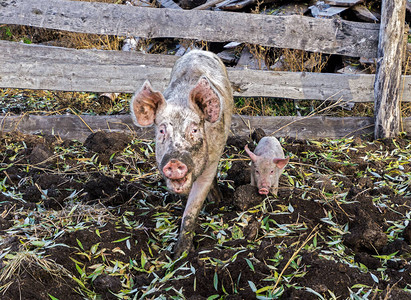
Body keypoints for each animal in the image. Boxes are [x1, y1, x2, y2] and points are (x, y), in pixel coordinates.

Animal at [130, 49, 233, 255]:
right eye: (162, 131)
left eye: (194, 130)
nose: (175, 161)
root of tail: (198, 50)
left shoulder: (213, 158)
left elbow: (193, 207)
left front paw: (182, 254)